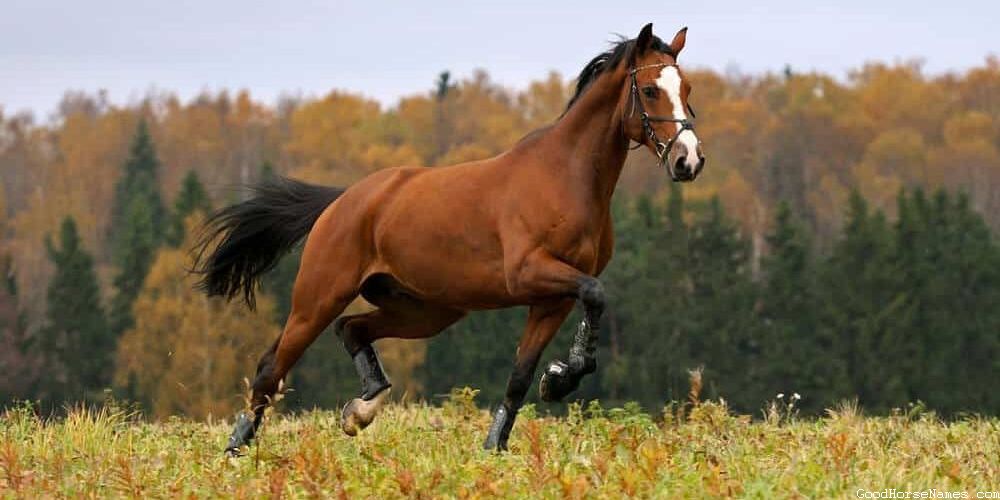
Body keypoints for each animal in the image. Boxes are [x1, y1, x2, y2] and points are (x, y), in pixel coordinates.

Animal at [196, 23, 705, 455]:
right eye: (651, 89)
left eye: (687, 90)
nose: (689, 160)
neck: (566, 176)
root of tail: (343, 201)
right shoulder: (530, 275)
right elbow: (596, 293)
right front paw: (561, 377)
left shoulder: (552, 299)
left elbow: (522, 375)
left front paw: (507, 435)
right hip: (318, 297)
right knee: (272, 368)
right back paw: (236, 451)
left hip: (426, 310)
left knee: (352, 328)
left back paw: (361, 409)